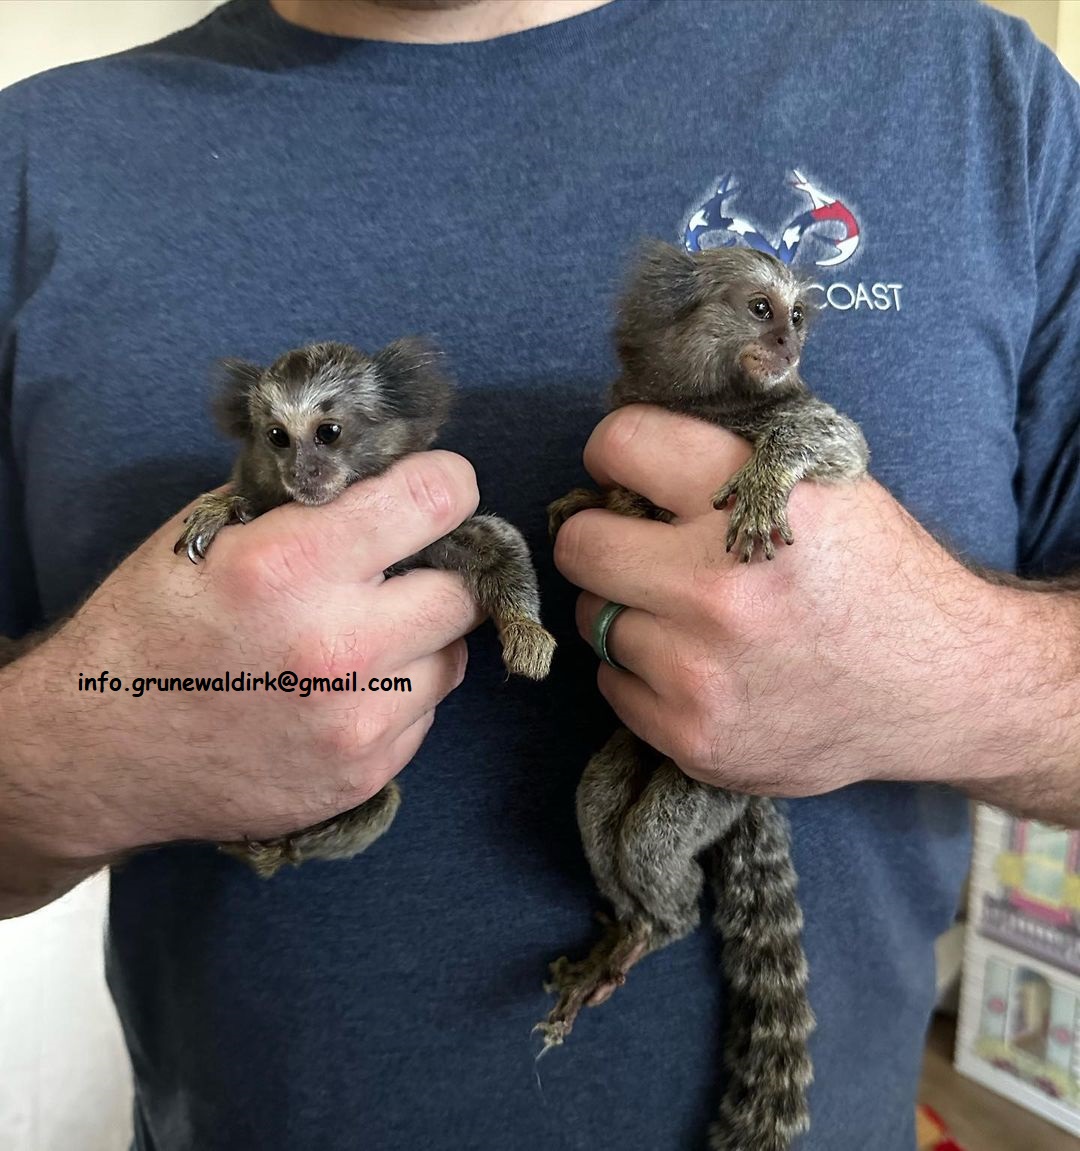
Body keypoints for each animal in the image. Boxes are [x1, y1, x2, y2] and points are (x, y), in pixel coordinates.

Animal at [168, 337, 556, 878]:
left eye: (327, 433)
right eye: (277, 437)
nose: (302, 473)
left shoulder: (434, 543)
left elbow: (500, 545)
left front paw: (526, 632)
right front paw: (221, 508)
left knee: (375, 806)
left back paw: (276, 849)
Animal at [535, 241, 870, 1151]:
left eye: (800, 316)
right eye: (762, 309)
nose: (790, 341)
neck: (709, 402)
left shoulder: (803, 412)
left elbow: (835, 440)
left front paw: (766, 476)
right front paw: (584, 499)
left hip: (709, 785)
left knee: (651, 837)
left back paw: (660, 925)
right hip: (632, 753)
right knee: (598, 807)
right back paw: (624, 933)